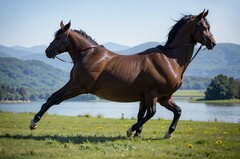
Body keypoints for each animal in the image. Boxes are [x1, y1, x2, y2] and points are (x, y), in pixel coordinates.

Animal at [29, 9, 216, 139]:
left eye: (58, 38)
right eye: (203, 27)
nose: (212, 42)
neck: (169, 60)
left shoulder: (160, 96)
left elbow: (171, 111)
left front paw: (161, 133)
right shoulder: (78, 86)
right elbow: (54, 98)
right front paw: (34, 122)